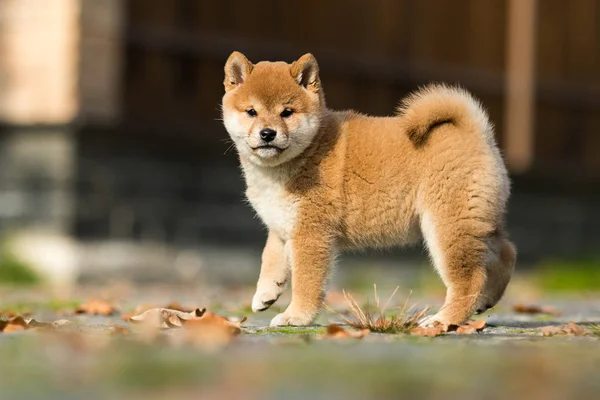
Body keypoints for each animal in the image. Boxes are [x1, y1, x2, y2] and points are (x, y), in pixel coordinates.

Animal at [220, 52, 516, 328]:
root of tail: (476, 132)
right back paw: (485, 300)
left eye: (287, 112)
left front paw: (296, 316)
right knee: (506, 253)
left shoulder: (311, 233)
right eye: (251, 112)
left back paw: (442, 320)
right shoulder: (283, 224)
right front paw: (264, 295)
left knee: (470, 278)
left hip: (448, 228)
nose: (268, 133)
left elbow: (306, 281)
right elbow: (270, 259)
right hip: (476, 221)